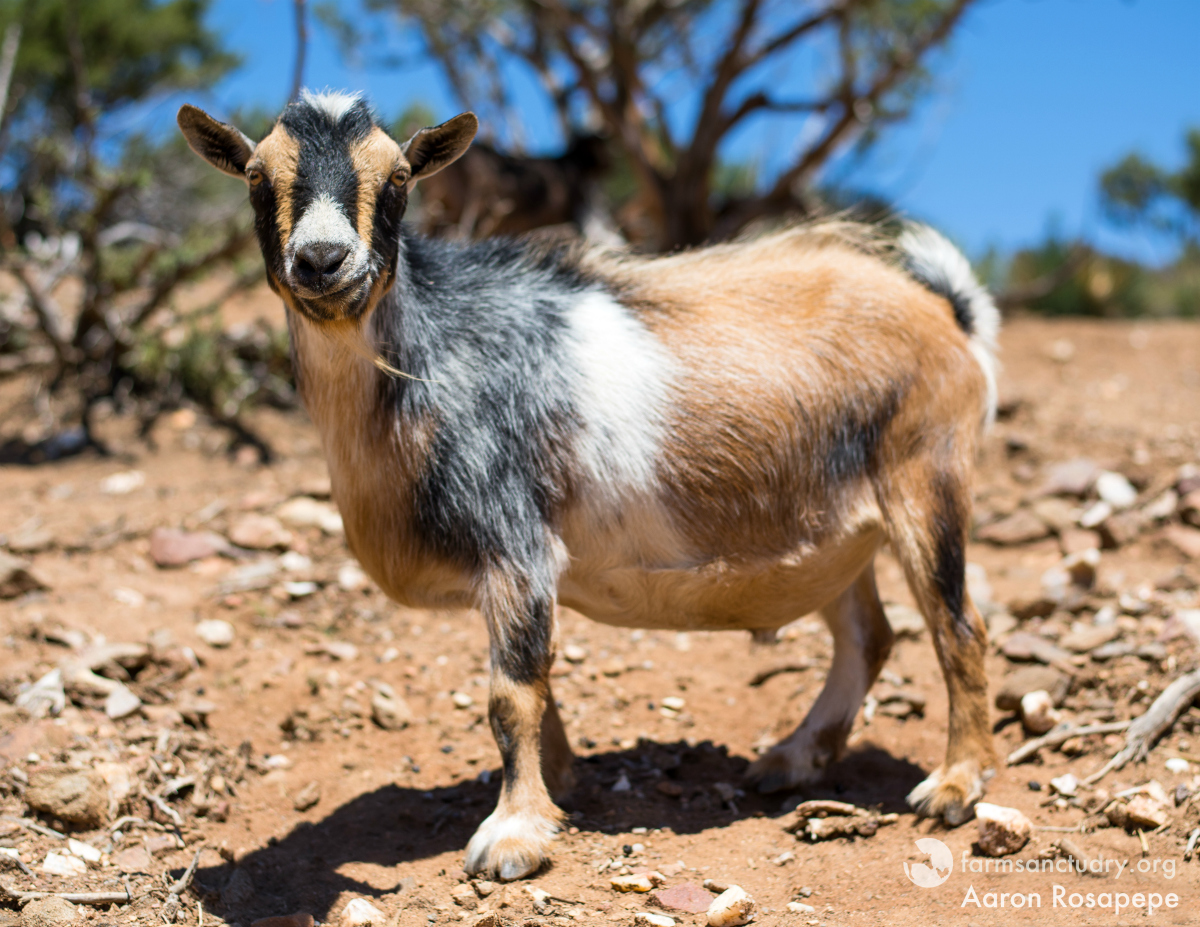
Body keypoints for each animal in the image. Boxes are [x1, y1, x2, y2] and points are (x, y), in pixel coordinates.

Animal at [177, 92, 1003, 883]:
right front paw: (560, 786)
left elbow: (509, 694)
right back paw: (792, 758)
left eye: (400, 178)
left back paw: (955, 785)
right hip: (838, 533)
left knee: (957, 625)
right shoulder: (516, 575)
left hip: (925, 481)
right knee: (868, 637)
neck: (428, 359)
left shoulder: (515, 542)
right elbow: (538, 684)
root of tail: (948, 312)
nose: (322, 260)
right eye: (257, 177)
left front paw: (513, 834)